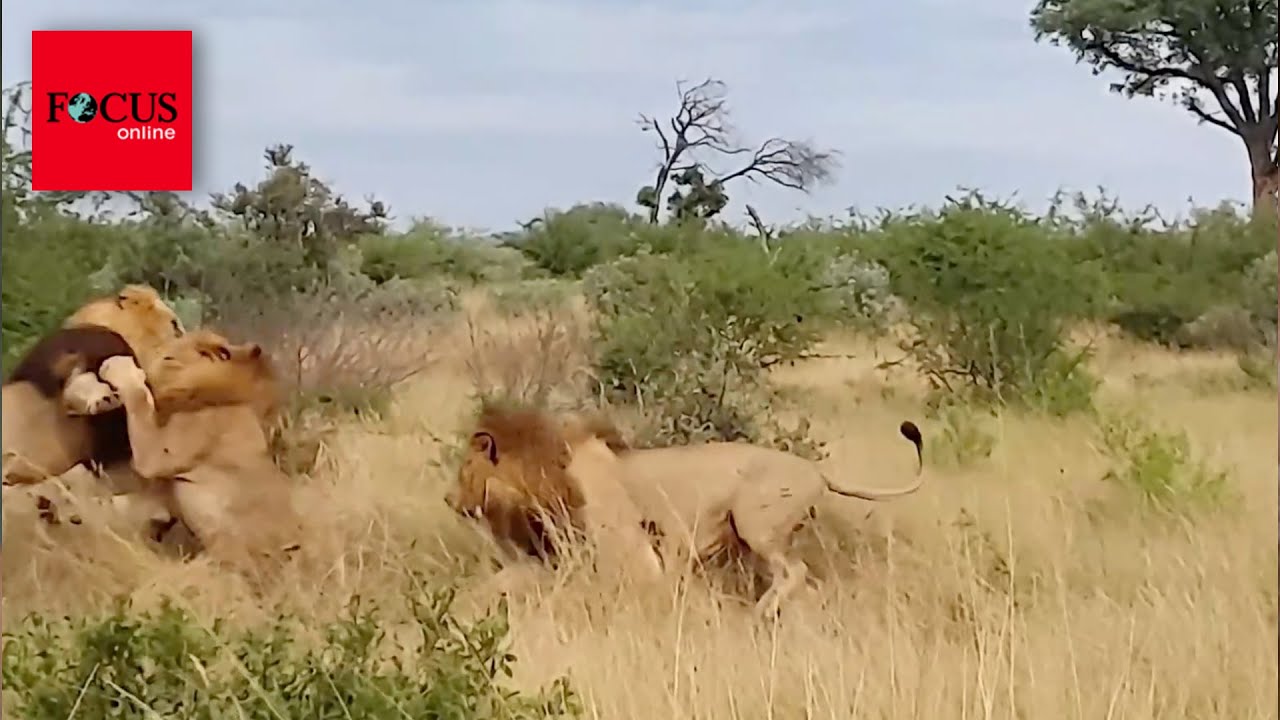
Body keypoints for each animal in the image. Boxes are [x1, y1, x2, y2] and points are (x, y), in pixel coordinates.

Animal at [94, 330, 299, 576]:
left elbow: (139, 400)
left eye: (168, 358)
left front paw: (117, 367)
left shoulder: (159, 453)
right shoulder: (163, 490)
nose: (143, 364)